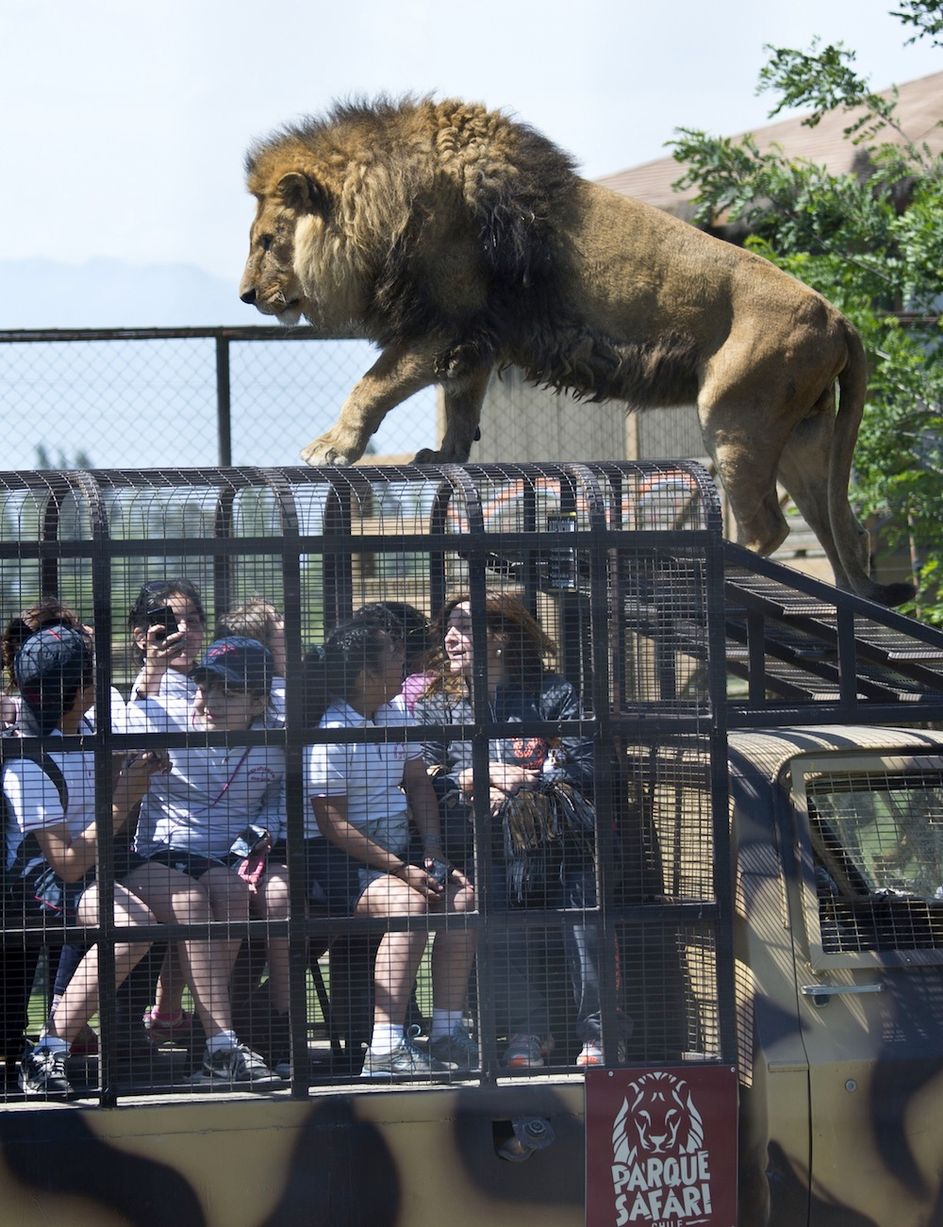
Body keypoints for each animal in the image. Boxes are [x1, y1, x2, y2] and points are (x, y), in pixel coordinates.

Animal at [240, 95, 913, 605]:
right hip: (804, 437)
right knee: (847, 533)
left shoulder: (440, 322)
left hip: (735, 414)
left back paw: (719, 571)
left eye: (268, 240)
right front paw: (445, 455)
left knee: (767, 527)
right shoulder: (475, 337)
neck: (384, 203)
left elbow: (371, 385)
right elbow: (461, 404)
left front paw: (332, 448)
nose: (246, 295)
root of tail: (837, 314)